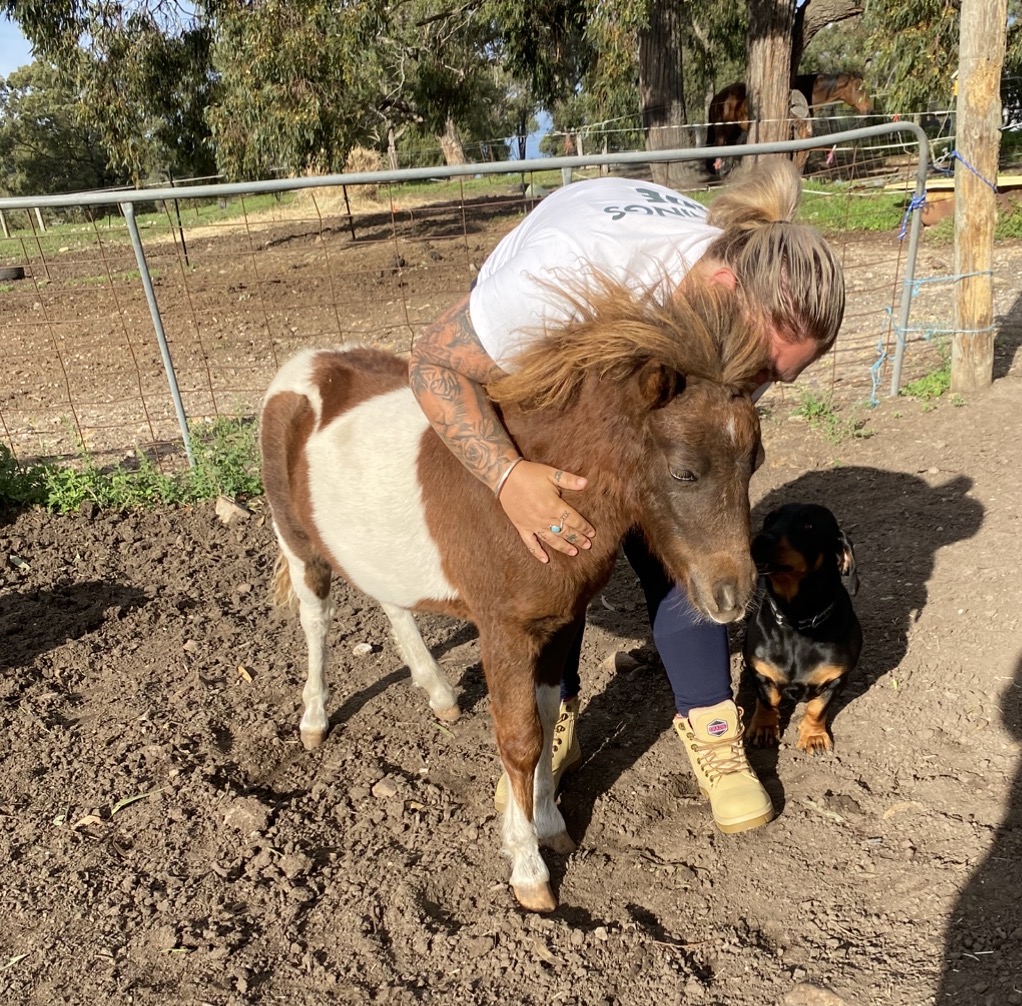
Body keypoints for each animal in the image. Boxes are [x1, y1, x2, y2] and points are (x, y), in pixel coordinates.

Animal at [259, 280, 765, 914]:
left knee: (393, 602)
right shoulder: (503, 631)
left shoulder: (561, 622)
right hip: (299, 544)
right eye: (684, 473)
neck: (540, 499)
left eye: (755, 463)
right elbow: (520, 739)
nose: (732, 596)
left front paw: (551, 826)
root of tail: (304, 364)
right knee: (316, 619)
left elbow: (548, 719)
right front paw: (530, 871)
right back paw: (314, 720)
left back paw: (440, 694)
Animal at [705, 71, 874, 174]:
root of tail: (717, 97)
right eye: (858, 89)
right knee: (717, 149)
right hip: (723, 130)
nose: (869, 110)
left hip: (734, 132)